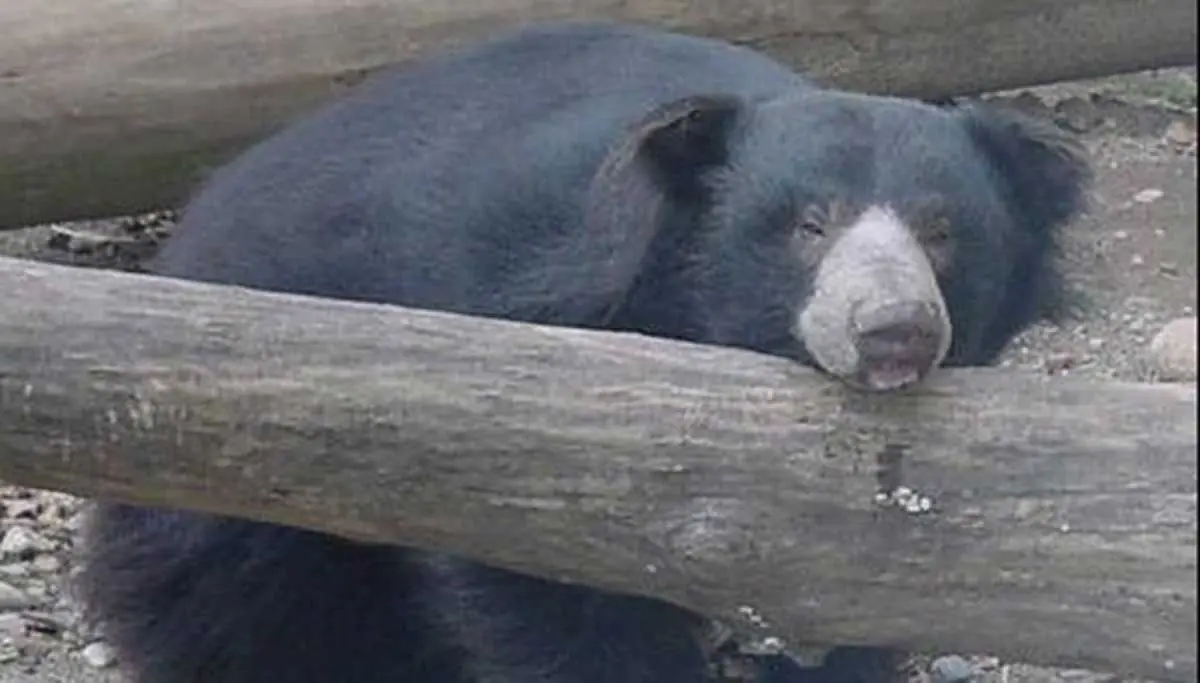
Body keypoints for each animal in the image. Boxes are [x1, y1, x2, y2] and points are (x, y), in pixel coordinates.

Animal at [74, 20, 1091, 683]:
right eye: (809, 225)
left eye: (943, 231)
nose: (895, 330)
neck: (695, 324)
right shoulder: (509, 356)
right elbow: (538, 581)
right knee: (247, 603)